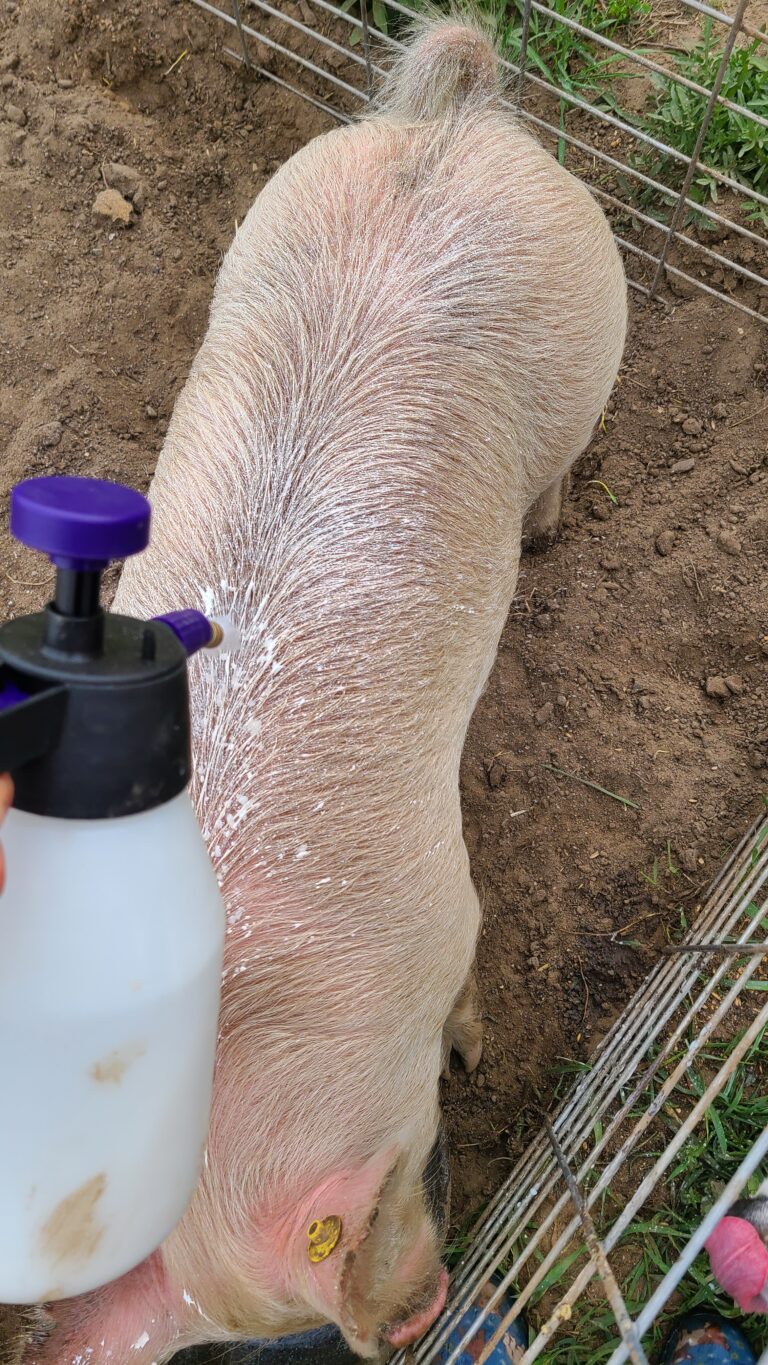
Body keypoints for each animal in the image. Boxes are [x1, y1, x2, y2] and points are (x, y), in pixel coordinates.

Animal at [16, 12, 626, 1365]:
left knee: (566, 459)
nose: (416, 1318)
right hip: (277, 211)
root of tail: (454, 127)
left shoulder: (447, 904)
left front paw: (474, 1044)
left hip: (593, 315)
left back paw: (552, 531)